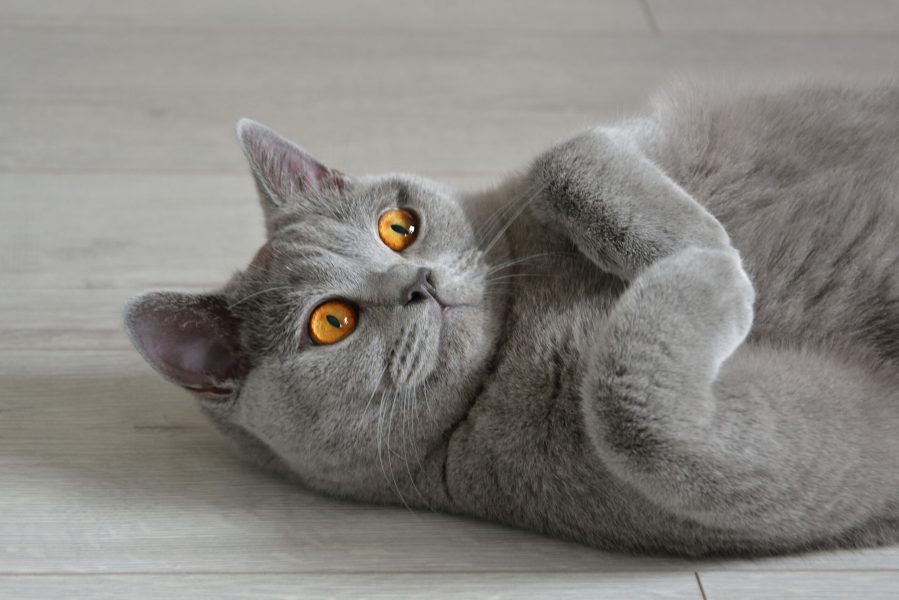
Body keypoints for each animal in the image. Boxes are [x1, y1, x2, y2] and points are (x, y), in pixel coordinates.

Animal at [125, 81, 899, 556]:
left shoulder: (589, 154)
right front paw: (719, 264)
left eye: (398, 228)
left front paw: (704, 241)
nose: (419, 282)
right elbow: (636, 416)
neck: (517, 331)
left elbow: (566, 155)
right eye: (331, 322)